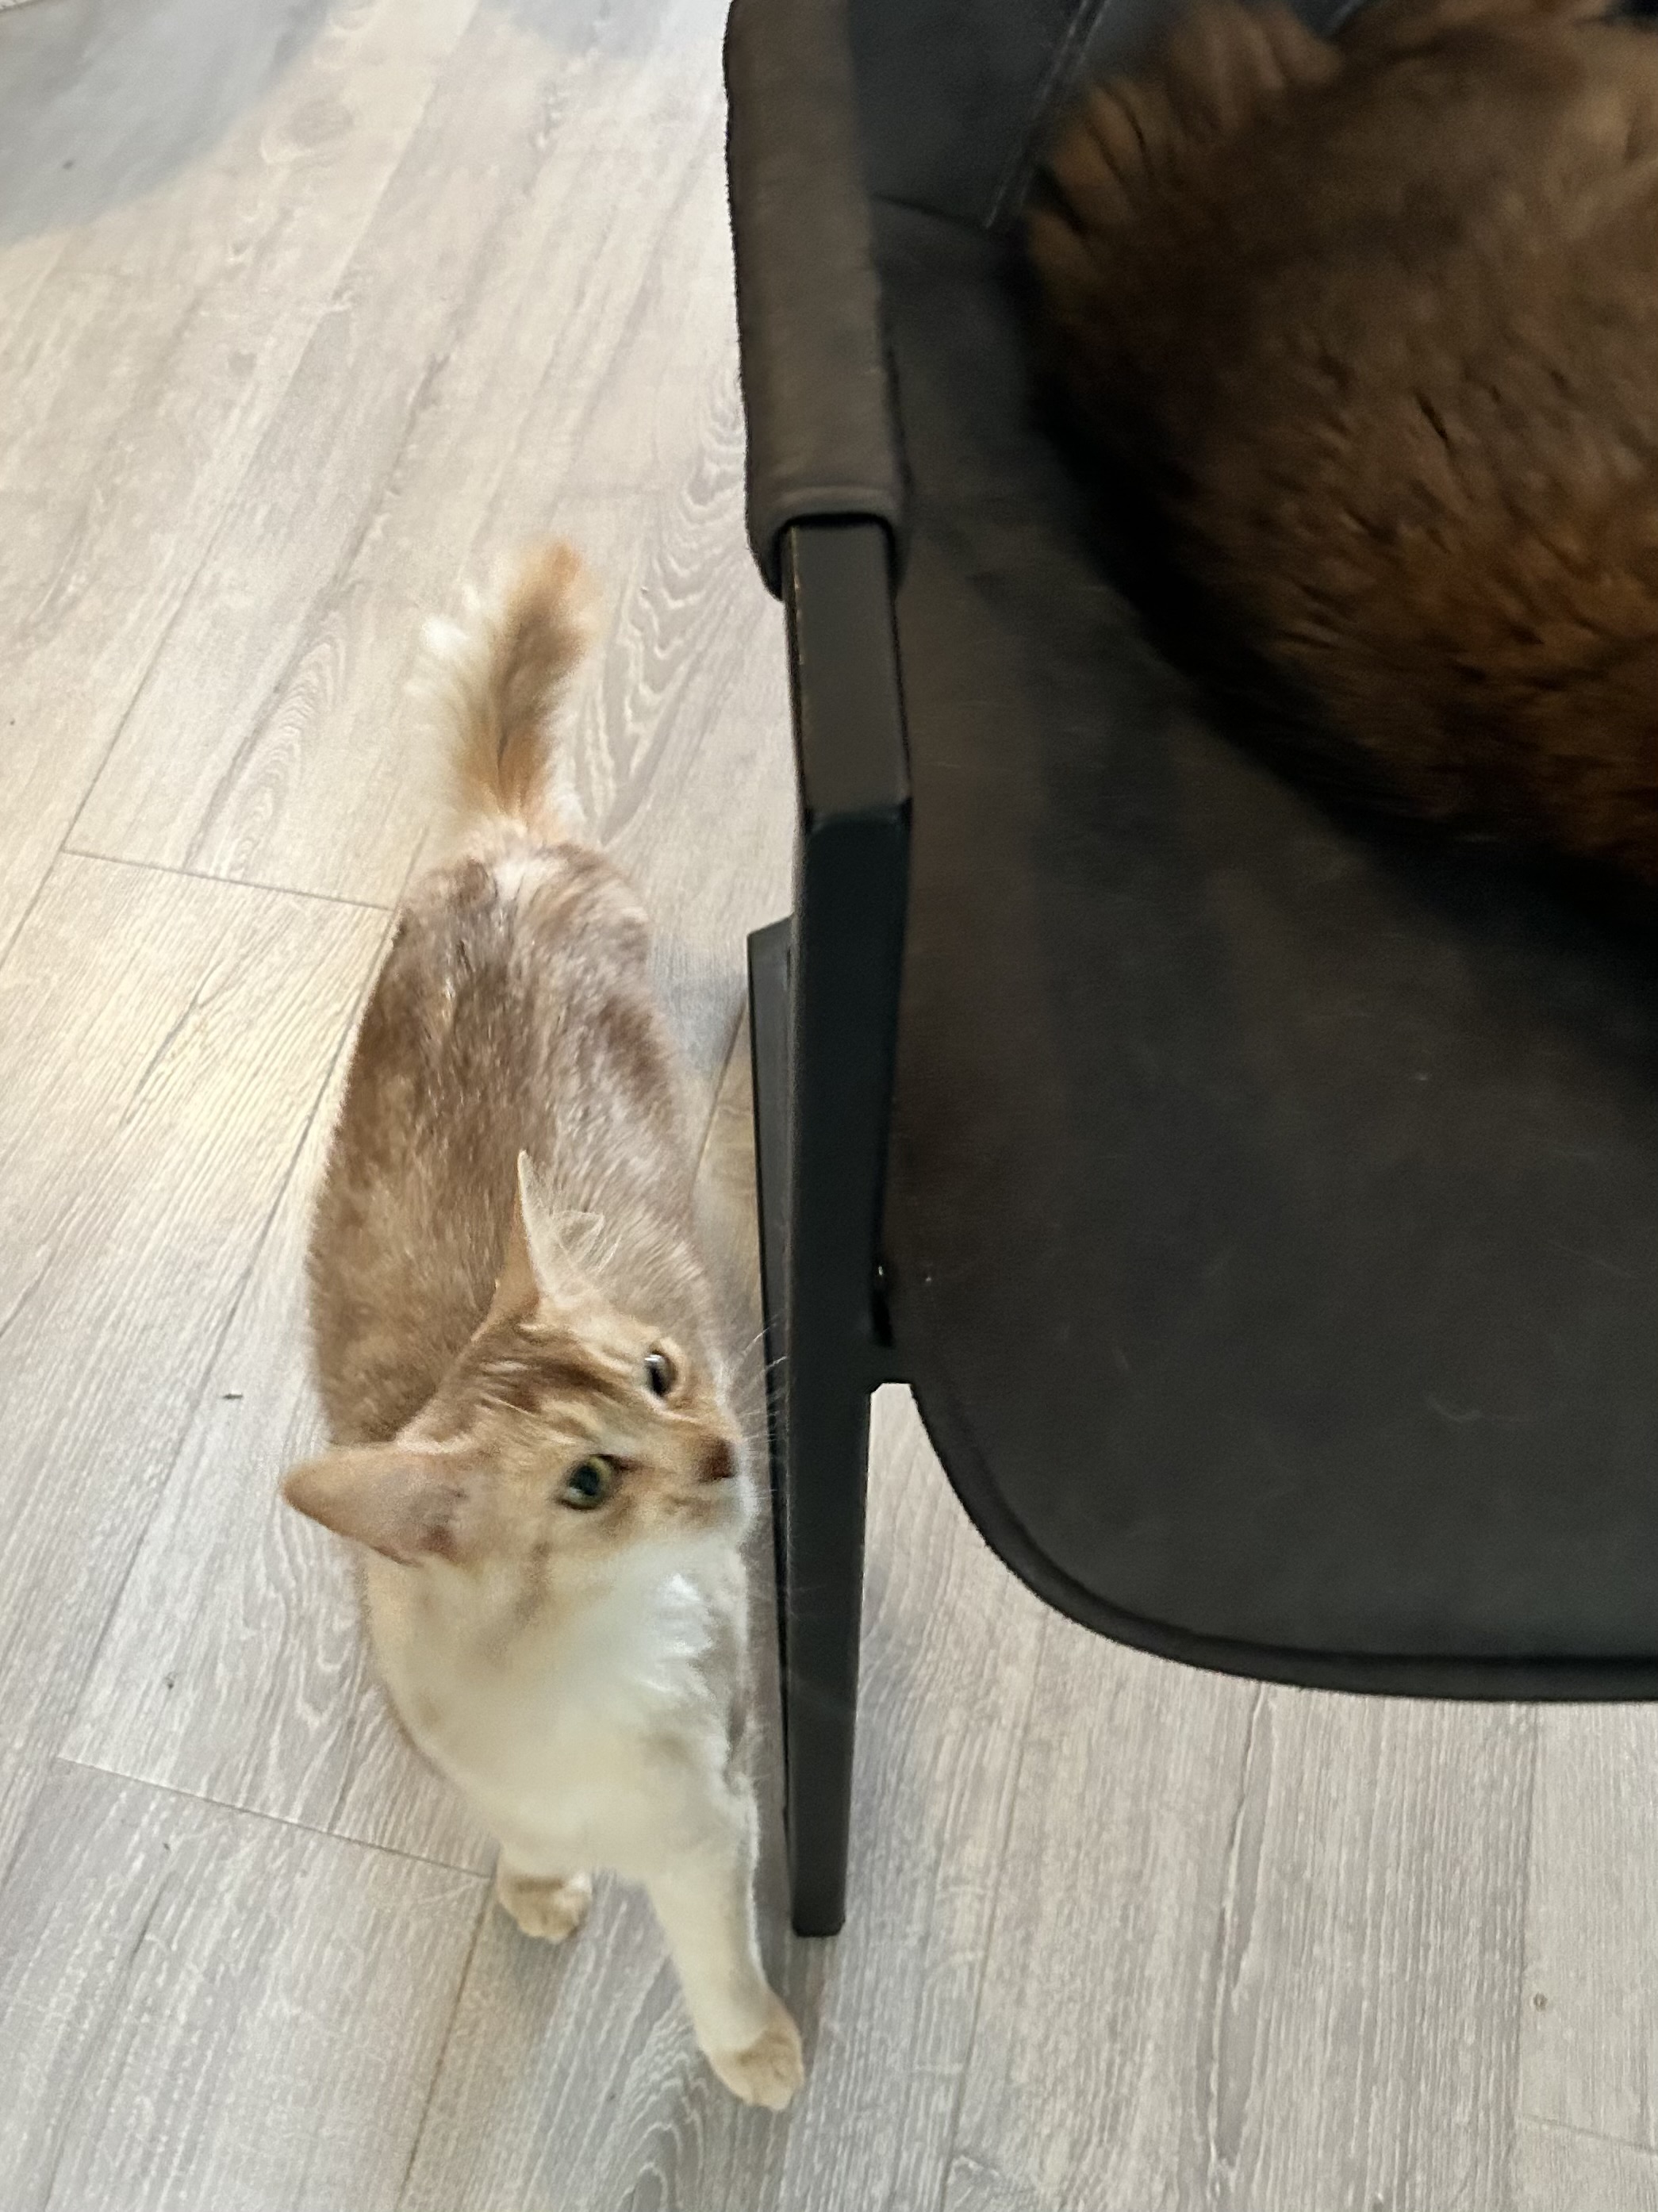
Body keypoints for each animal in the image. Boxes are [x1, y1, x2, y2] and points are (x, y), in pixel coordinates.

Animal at [280, 542, 804, 2110]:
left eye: (660, 1369)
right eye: (586, 1480)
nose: (720, 1452)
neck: (562, 1674)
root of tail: (508, 851)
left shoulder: (708, 1811)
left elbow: (714, 1957)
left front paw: (753, 2046)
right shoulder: (471, 1762)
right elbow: (518, 1834)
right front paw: (538, 1882)